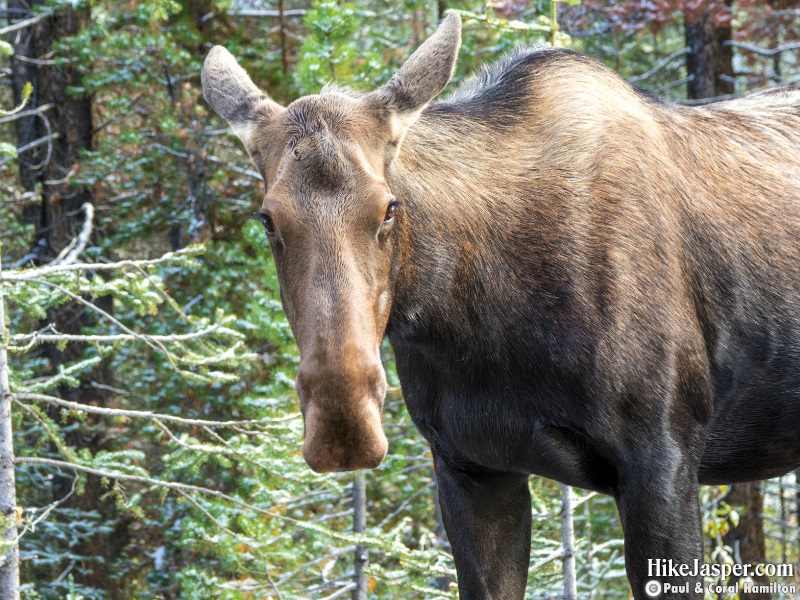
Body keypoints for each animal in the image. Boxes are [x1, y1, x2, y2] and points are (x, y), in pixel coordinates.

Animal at [202, 14, 800, 600]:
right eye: (267, 218)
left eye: (390, 207)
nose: (342, 423)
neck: (470, 322)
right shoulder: (469, 467)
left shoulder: (664, 460)